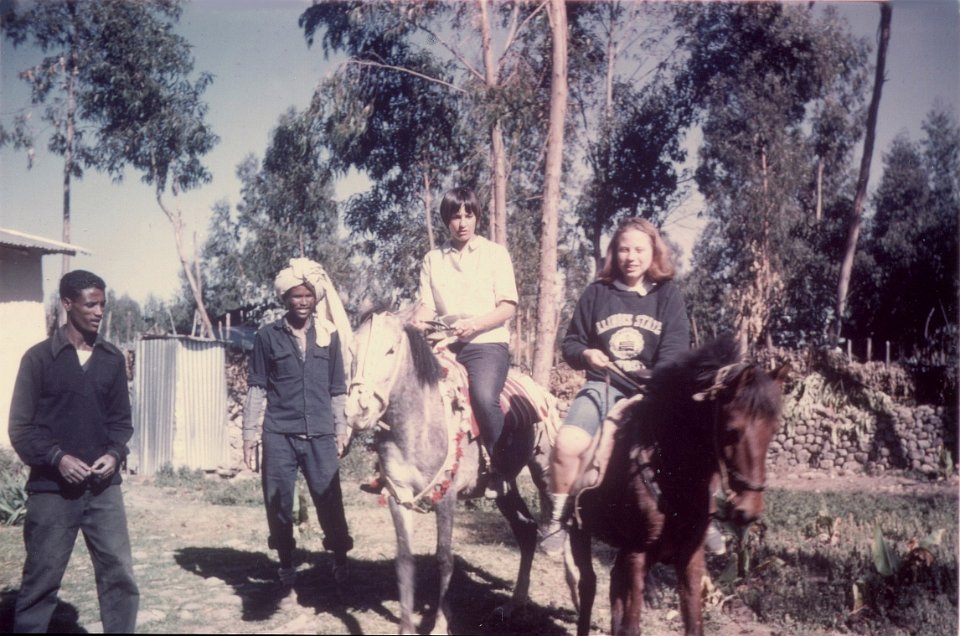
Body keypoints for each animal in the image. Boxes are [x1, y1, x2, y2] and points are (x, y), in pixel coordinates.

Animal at [344, 310, 558, 635]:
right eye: (352, 351)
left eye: (390, 351)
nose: (358, 410)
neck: (417, 424)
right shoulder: (398, 496)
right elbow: (404, 560)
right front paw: (406, 627)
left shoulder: (446, 496)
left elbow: (444, 559)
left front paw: (439, 625)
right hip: (504, 487)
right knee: (526, 529)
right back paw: (513, 605)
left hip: (544, 468)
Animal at [564, 335, 789, 636]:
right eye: (732, 430)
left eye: (774, 430)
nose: (748, 510)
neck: (673, 478)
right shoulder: (637, 552)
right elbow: (631, 624)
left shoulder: (691, 558)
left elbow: (693, 624)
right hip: (580, 532)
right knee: (588, 585)